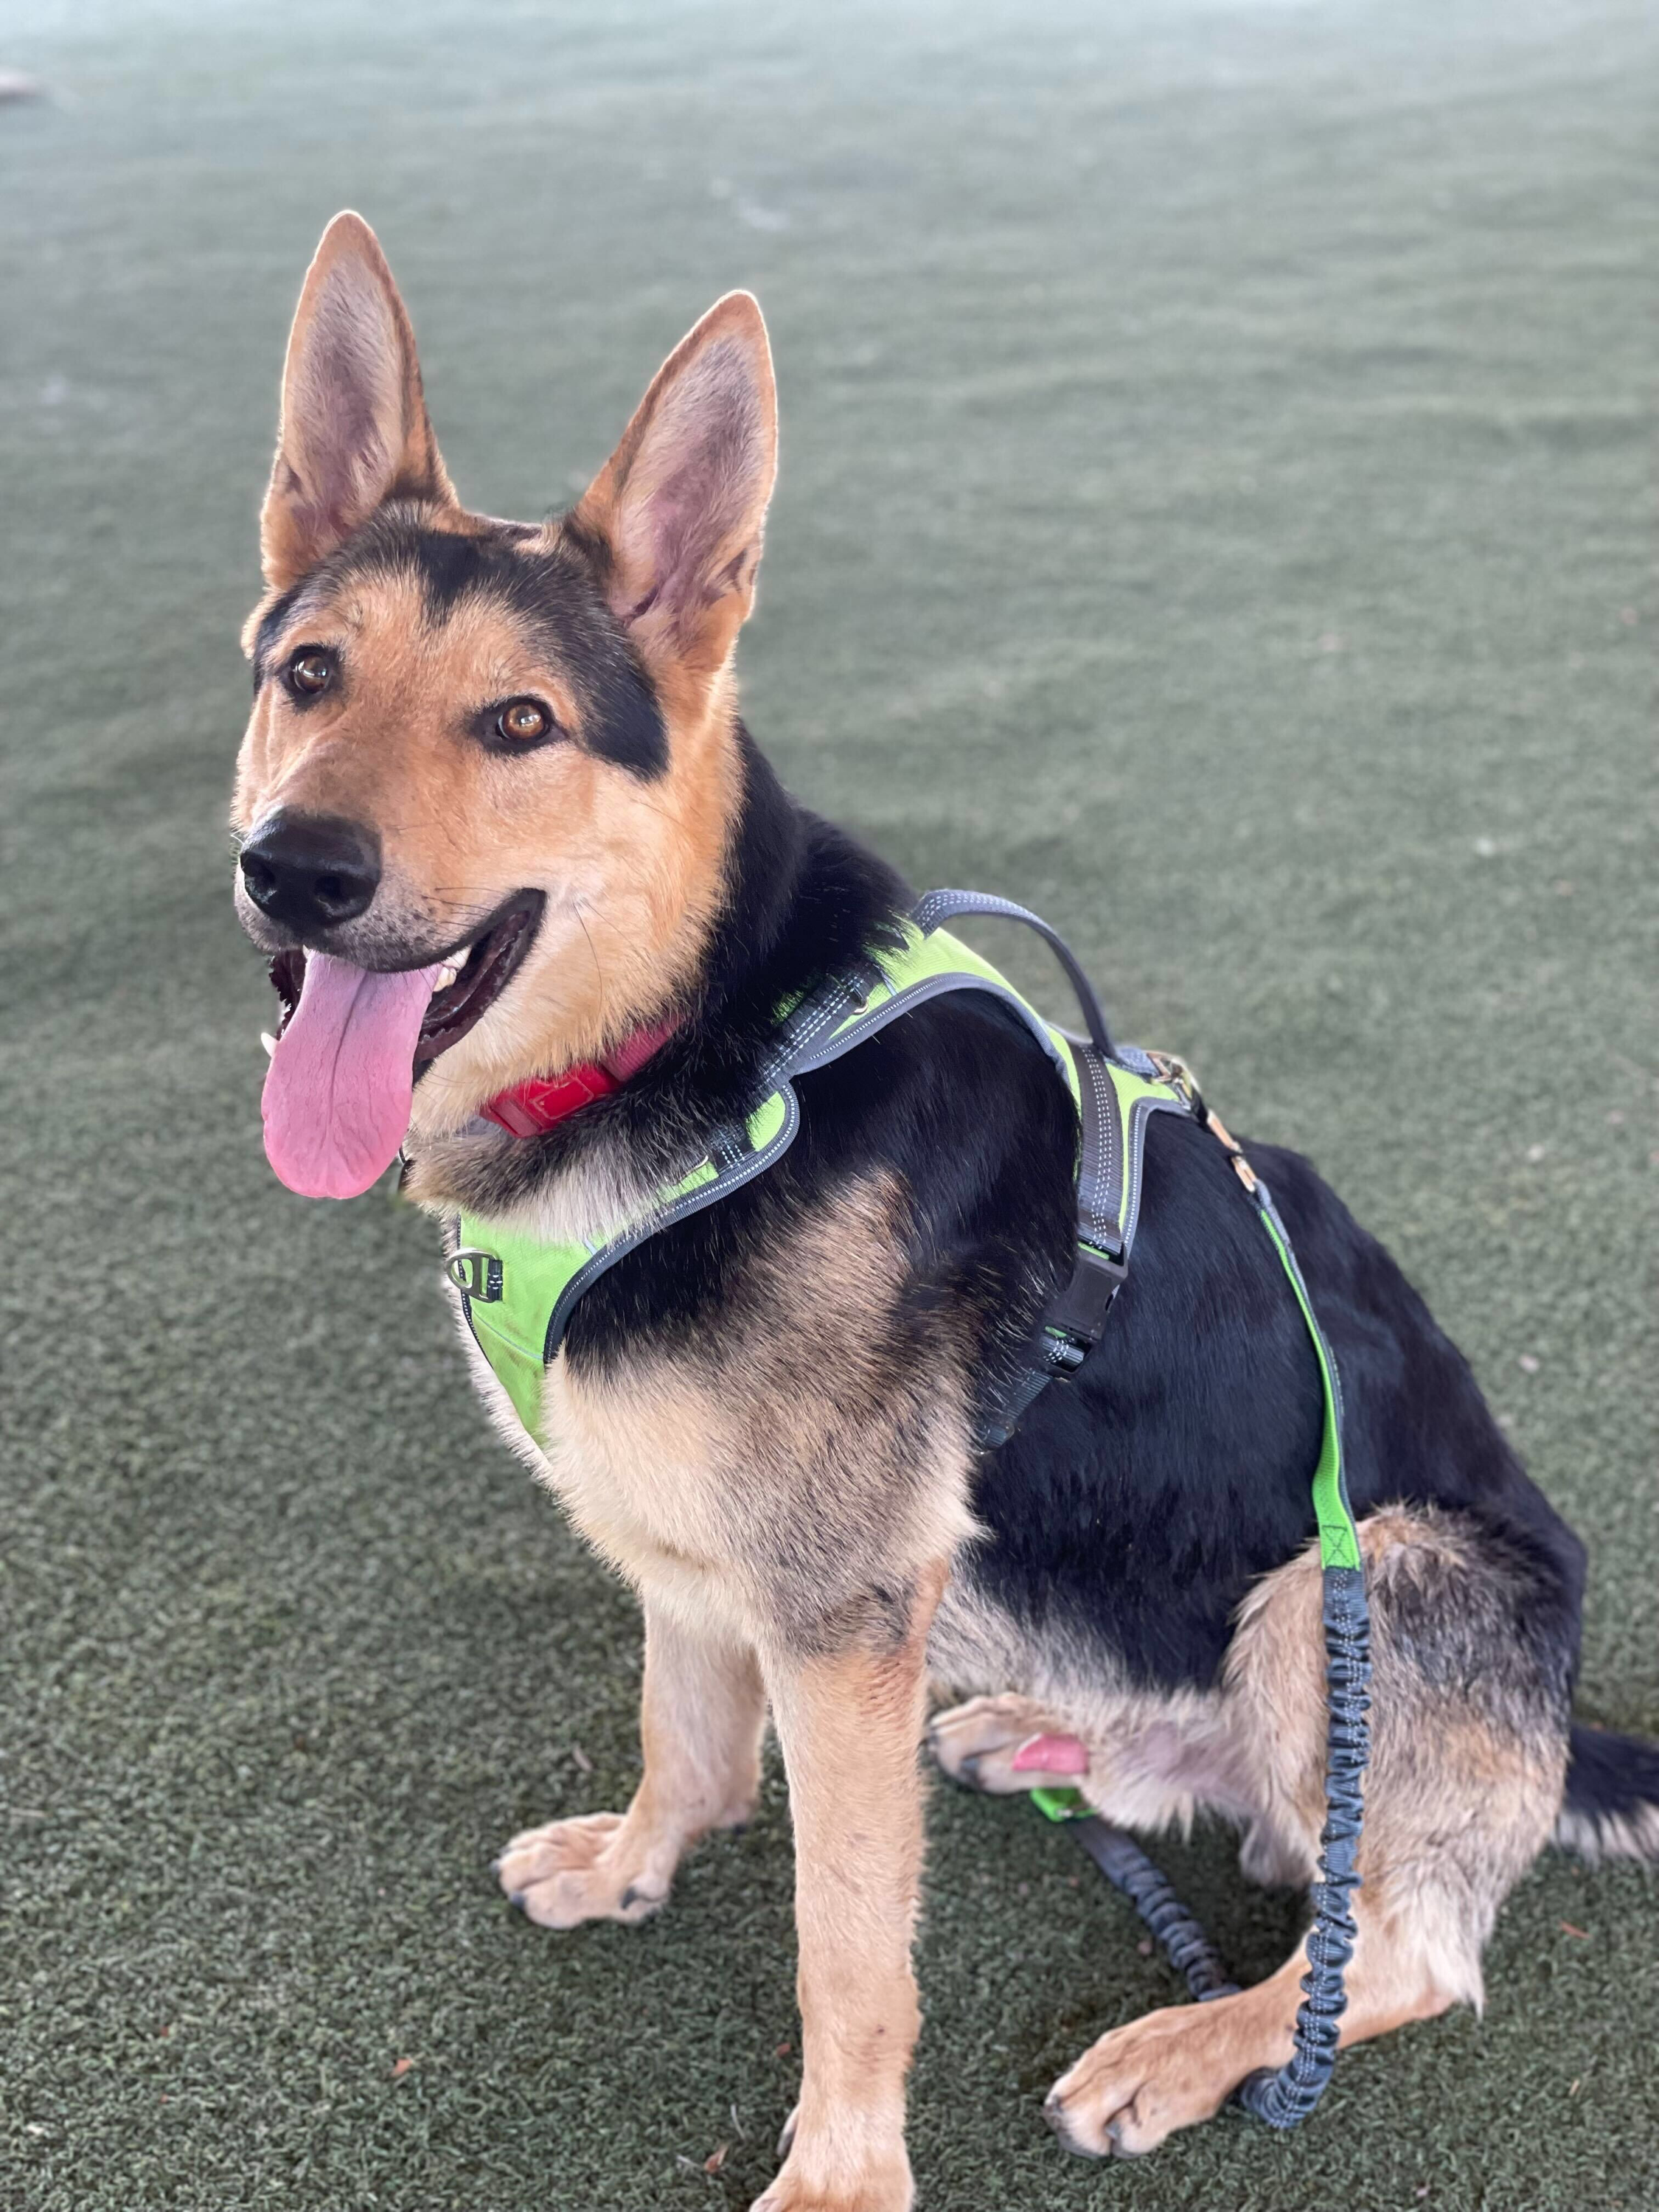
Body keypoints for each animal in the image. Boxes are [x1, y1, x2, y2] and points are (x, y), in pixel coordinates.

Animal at [234, 211, 1659, 2212]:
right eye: (308, 676)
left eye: (517, 722)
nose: (290, 870)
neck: (698, 1043)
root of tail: (1561, 1733)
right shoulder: (696, 1552)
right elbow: (688, 1741)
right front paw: (636, 1864)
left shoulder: (835, 1618)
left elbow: (846, 1933)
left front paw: (843, 2171)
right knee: (1242, 1811)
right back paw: (1051, 1734)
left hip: (1355, 1576)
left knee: (1389, 1945)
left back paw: (1181, 2041)